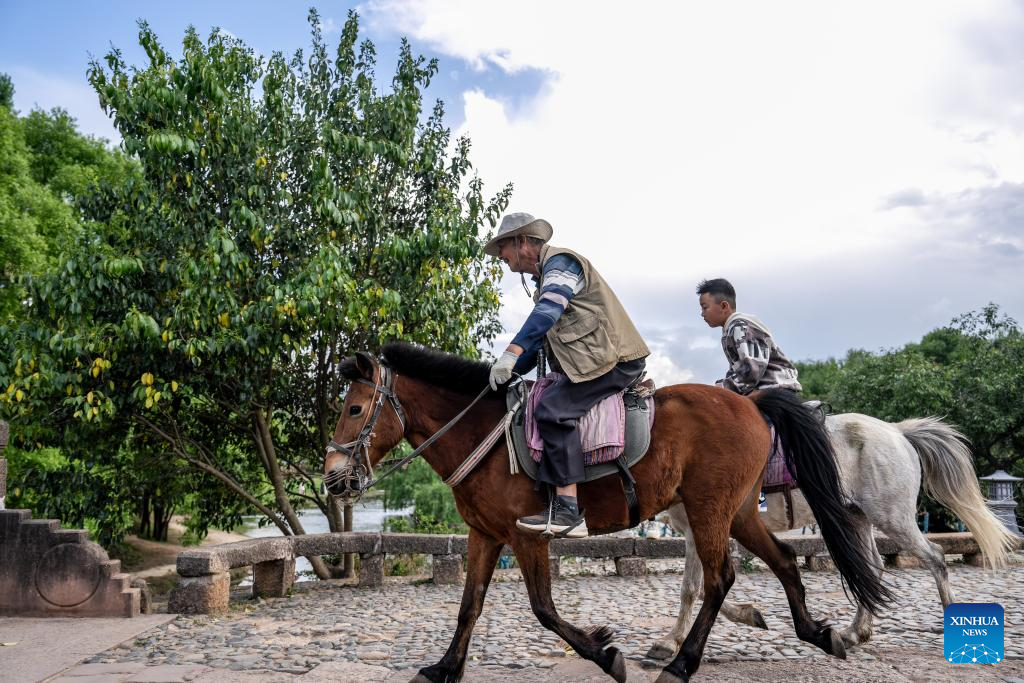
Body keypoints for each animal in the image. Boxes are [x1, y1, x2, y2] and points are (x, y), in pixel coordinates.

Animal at [323, 342, 893, 683]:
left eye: (354, 409)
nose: (332, 477)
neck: (485, 436)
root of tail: (752, 405)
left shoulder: (527, 536)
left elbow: (543, 609)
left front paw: (603, 652)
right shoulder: (484, 535)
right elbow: (469, 607)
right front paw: (445, 667)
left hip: (709, 509)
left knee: (720, 578)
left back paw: (683, 661)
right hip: (737, 511)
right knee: (782, 561)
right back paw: (816, 632)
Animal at [646, 413, 1018, 661]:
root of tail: (896, 431)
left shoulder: (700, 530)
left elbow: (693, 588)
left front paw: (670, 641)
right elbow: (703, 587)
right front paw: (746, 615)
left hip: (892, 518)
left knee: (936, 558)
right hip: (858, 517)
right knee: (873, 568)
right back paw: (855, 633)